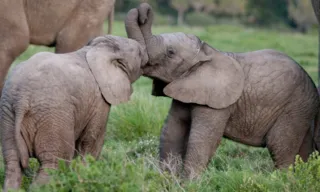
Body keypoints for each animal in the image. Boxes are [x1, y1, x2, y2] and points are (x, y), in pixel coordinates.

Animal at [0, 35, 148, 190]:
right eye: (139, 53)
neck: (96, 48)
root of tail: (21, 98)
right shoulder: (99, 100)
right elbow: (91, 142)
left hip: (7, 115)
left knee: (13, 164)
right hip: (53, 115)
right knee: (53, 164)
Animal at [124, 3, 320, 179]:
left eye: (170, 52)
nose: (144, 13)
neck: (208, 51)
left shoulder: (218, 103)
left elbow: (203, 138)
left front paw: (189, 184)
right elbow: (172, 130)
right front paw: (167, 181)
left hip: (295, 107)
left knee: (279, 146)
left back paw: (283, 182)